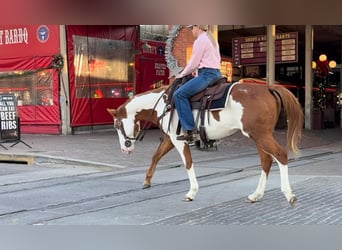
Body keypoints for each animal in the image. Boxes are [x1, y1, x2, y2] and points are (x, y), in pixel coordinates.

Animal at [107, 80, 304, 207]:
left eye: (117, 125)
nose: (125, 149)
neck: (165, 104)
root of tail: (268, 88)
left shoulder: (178, 140)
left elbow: (187, 163)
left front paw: (191, 192)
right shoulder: (170, 139)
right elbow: (156, 156)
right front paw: (147, 181)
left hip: (260, 135)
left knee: (280, 155)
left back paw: (289, 194)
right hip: (258, 136)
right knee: (266, 161)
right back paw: (256, 195)